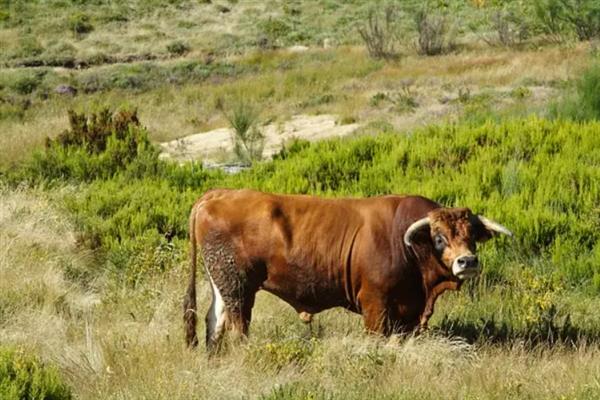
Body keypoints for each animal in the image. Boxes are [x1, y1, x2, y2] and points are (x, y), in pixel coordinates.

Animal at [183, 189, 510, 348]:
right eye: (439, 238)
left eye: (471, 235)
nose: (467, 261)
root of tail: (218, 193)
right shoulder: (375, 305)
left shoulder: (407, 312)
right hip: (238, 287)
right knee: (238, 326)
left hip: (222, 283)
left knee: (214, 321)